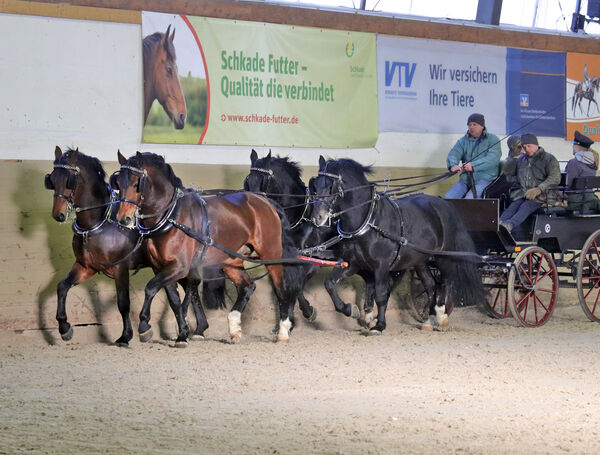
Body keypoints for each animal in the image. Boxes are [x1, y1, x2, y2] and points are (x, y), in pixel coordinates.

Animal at [43, 147, 205, 346]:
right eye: (52, 179)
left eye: (69, 180)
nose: (57, 214)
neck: (98, 222)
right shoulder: (85, 267)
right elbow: (62, 287)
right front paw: (64, 327)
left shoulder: (120, 268)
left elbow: (123, 303)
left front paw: (126, 335)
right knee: (192, 287)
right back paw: (198, 328)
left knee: (192, 285)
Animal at [113, 152, 300, 342]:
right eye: (118, 183)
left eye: (136, 183)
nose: (123, 219)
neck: (171, 216)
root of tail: (266, 201)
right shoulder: (160, 268)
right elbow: (173, 300)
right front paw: (183, 333)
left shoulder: (179, 267)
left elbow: (151, 288)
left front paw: (144, 326)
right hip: (231, 260)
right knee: (247, 286)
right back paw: (234, 328)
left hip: (271, 254)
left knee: (280, 289)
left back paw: (283, 332)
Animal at [308, 157, 486, 334]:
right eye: (315, 186)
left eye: (330, 185)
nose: (317, 218)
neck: (368, 222)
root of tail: (444, 204)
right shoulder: (352, 264)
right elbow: (330, 283)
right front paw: (350, 310)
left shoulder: (381, 266)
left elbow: (380, 294)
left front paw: (379, 325)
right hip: (420, 260)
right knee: (430, 285)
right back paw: (428, 321)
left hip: (443, 256)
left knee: (446, 282)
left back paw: (442, 317)